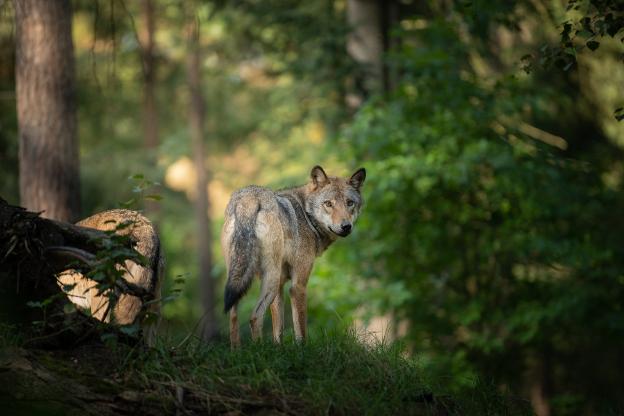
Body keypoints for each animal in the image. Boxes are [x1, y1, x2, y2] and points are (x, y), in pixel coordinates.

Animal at [222, 165, 366, 344]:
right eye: (328, 204)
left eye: (349, 203)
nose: (346, 226)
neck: (307, 215)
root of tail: (249, 198)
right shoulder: (298, 286)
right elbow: (301, 331)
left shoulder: (280, 286)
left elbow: (278, 331)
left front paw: (278, 348)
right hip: (270, 280)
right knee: (255, 317)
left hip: (238, 280)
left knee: (233, 317)